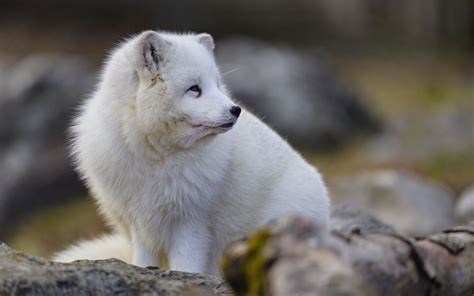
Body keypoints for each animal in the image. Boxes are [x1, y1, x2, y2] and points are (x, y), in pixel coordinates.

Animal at [53, 30, 330, 276]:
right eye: (194, 88)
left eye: (217, 84)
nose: (235, 110)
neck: (156, 158)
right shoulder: (140, 223)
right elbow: (143, 262)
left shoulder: (192, 223)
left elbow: (186, 267)